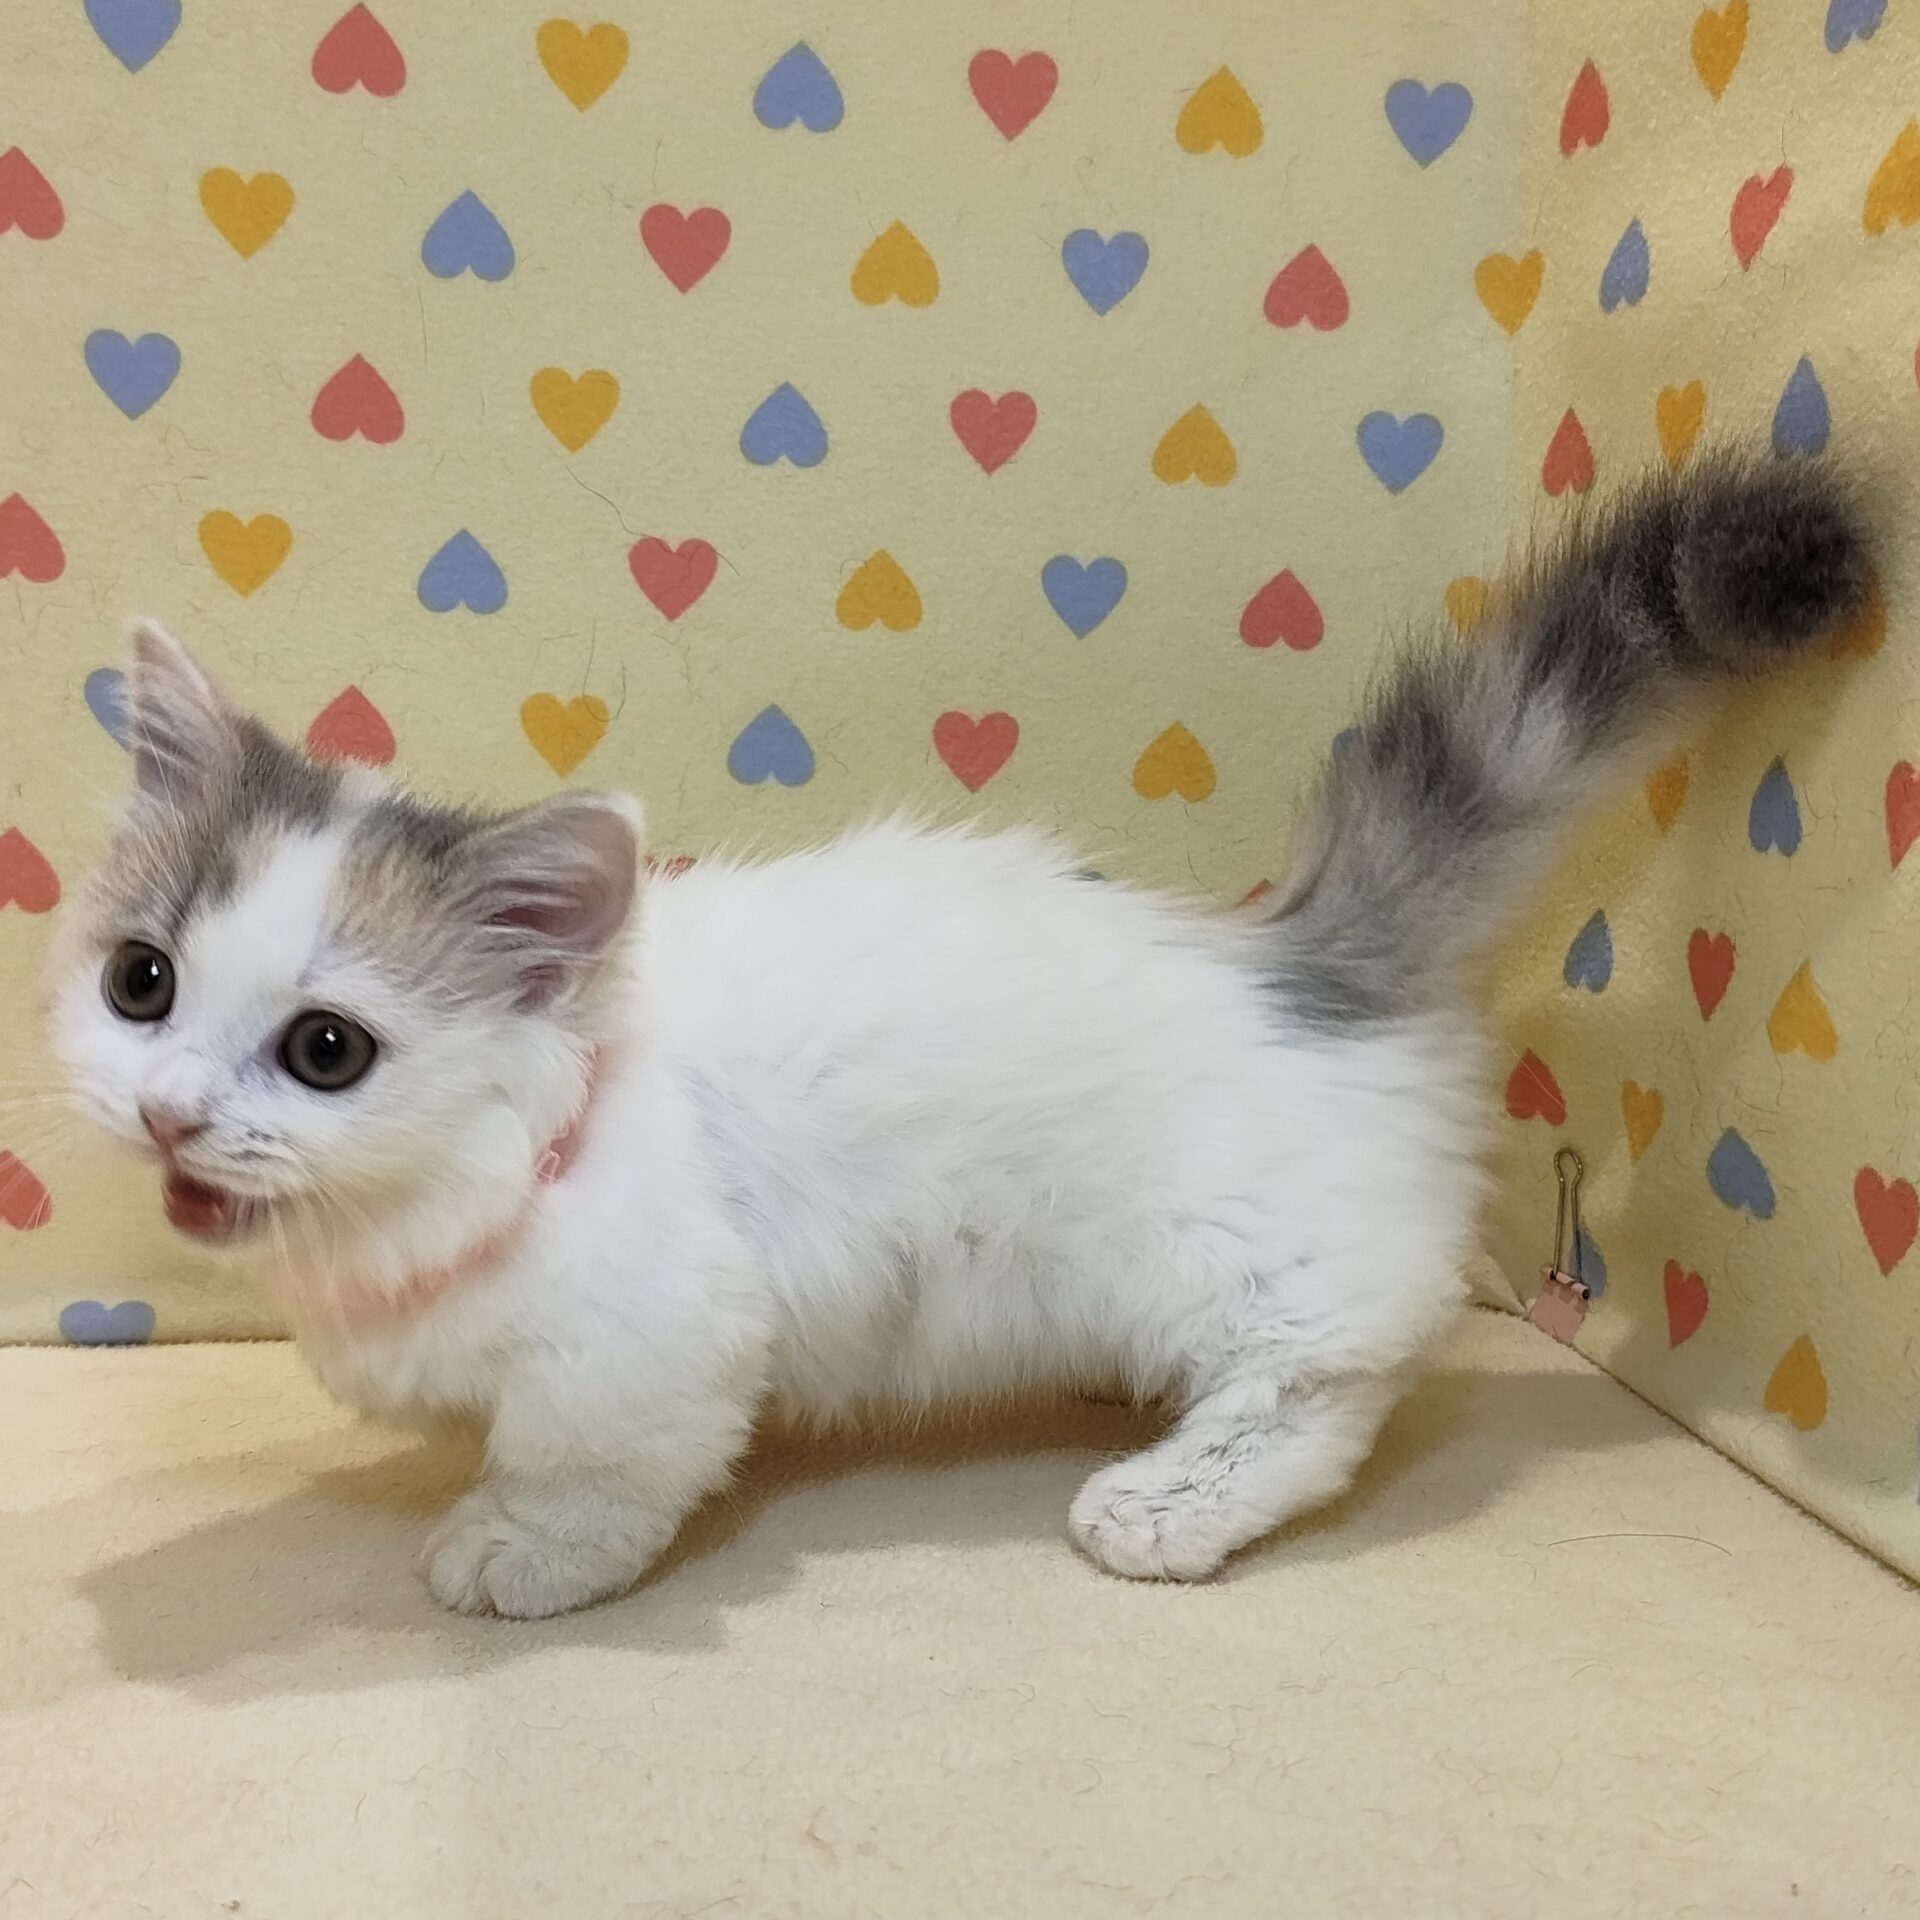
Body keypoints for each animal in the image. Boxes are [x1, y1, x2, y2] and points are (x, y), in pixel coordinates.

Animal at [52, 455, 1869, 1617]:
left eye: (327, 1052)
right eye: (141, 984)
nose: (171, 1111)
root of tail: (1285, 950)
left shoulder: (650, 1349)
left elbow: (590, 1481)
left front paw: (515, 1551)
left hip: (1241, 1263)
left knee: (1325, 1384)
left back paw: (1165, 1503)